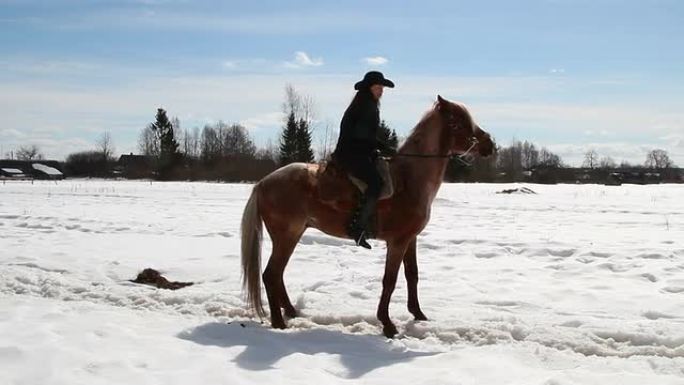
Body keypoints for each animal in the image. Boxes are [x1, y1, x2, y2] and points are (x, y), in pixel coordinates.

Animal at [243, 95, 494, 336]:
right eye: (458, 122)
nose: (489, 144)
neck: (409, 180)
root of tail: (263, 183)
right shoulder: (397, 242)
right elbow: (390, 280)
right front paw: (387, 323)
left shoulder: (410, 240)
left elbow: (412, 275)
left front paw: (418, 314)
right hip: (286, 236)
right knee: (270, 275)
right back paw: (278, 322)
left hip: (292, 236)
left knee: (277, 275)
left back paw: (291, 311)